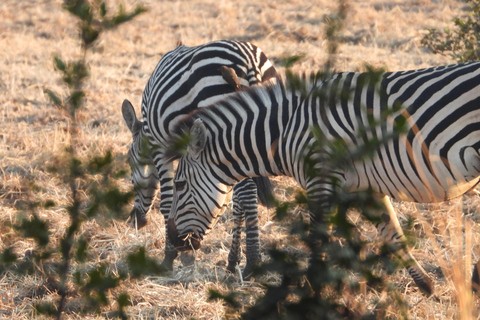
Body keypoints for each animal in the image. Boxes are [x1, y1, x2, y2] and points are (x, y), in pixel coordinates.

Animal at [121, 40, 278, 276]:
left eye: (131, 164)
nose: (135, 221)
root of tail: (249, 61)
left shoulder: (160, 148)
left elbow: (167, 203)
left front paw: (171, 256)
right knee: (243, 195)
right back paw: (234, 261)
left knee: (246, 192)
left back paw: (252, 259)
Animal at [165, 60, 480, 296]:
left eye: (179, 185)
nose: (175, 243)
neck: (285, 130)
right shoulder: (365, 188)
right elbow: (392, 234)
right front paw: (426, 285)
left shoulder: (320, 179)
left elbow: (318, 240)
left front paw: (312, 292)